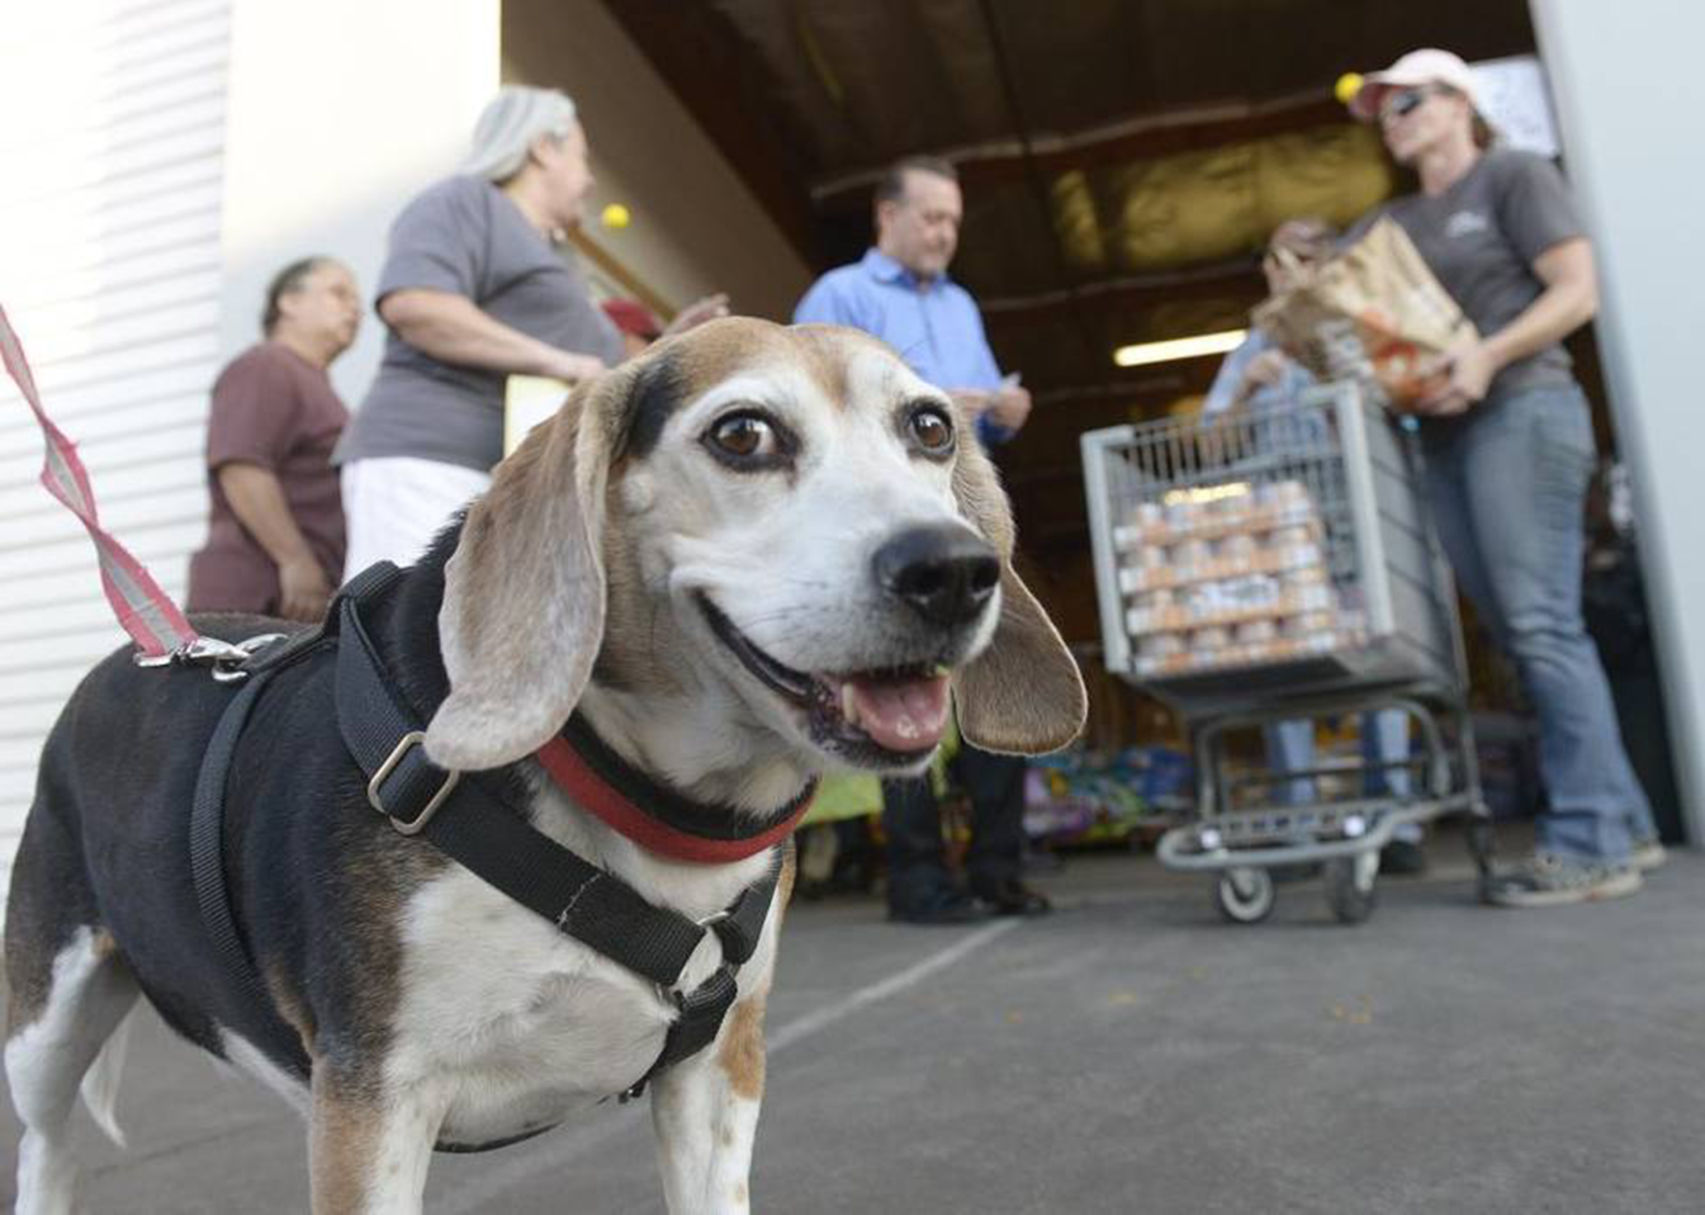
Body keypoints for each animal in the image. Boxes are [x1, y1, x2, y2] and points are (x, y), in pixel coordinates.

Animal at [6, 316, 1077, 1206]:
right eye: (743, 436)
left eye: (930, 427)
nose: (953, 570)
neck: (636, 805)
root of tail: (141, 648)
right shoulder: (376, 1104)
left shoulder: (715, 1074)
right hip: (44, 1032)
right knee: (48, 1150)